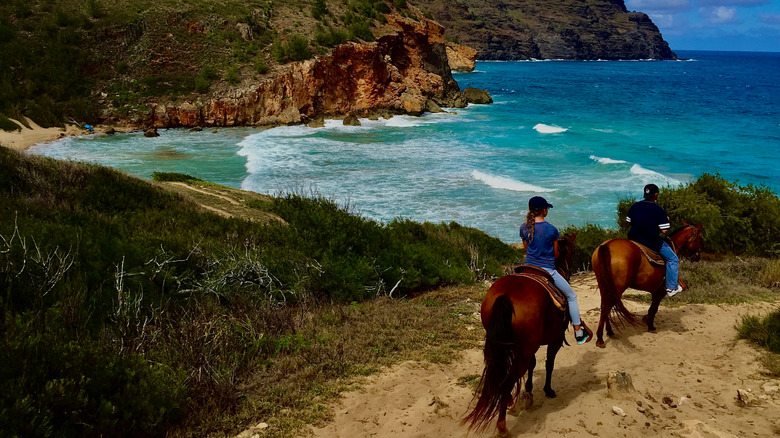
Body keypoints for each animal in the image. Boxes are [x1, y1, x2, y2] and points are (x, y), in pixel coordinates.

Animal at [464, 234, 580, 432]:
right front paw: (547, 390)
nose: (569, 270)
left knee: (502, 373)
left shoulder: (530, 345)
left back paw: (509, 403)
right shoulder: (555, 339)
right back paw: (502, 425)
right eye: (572, 250)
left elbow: (533, 365)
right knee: (508, 380)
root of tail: (506, 295)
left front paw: (529, 392)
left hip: (506, 346)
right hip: (524, 349)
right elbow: (549, 363)